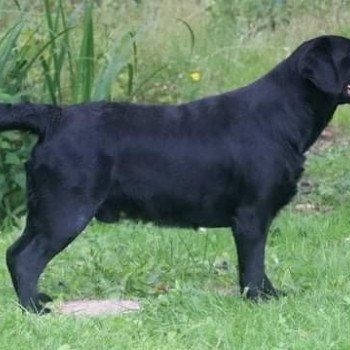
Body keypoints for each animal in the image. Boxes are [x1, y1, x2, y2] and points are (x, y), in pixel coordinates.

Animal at [0, 34, 350, 314]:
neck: (282, 116)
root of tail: (54, 117)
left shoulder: (255, 220)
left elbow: (257, 267)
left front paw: (272, 296)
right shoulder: (252, 216)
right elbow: (252, 266)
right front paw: (258, 302)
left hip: (45, 211)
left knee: (15, 252)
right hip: (66, 211)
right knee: (26, 258)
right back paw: (34, 309)